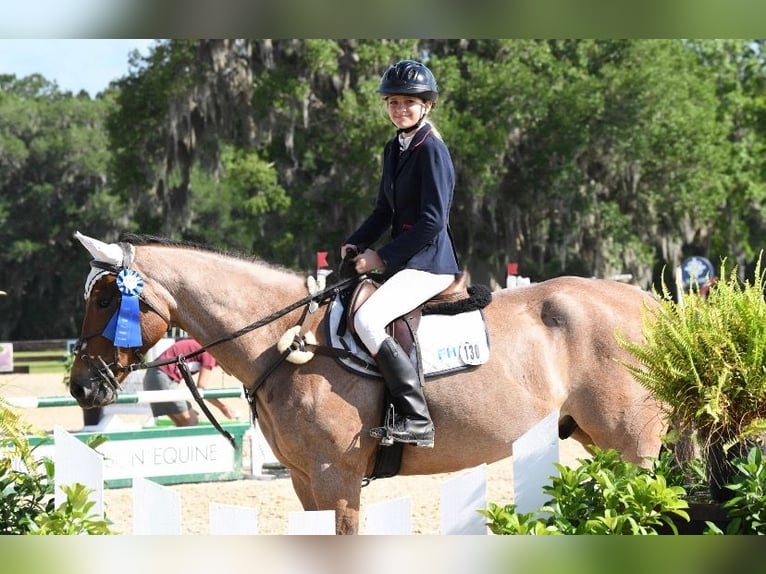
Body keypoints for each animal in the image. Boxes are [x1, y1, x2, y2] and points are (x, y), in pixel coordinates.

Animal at [67, 231, 664, 536]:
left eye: (106, 297)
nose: (81, 388)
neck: (284, 341)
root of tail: (648, 302)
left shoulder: (337, 479)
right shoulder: (304, 480)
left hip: (632, 445)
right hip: (594, 437)